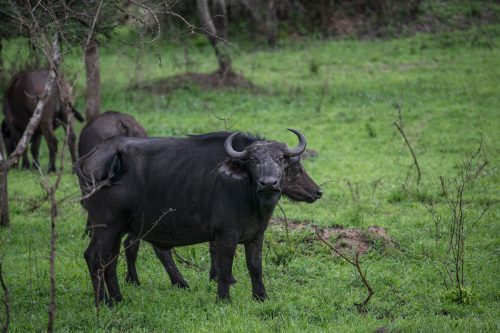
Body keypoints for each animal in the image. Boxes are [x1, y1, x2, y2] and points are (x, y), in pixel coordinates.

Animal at [75, 129, 308, 304]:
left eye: (281, 159)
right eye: (252, 160)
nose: (269, 183)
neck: (248, 194)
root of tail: (93, 157)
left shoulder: (255, 235)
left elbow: (255, 268)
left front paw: (261, 297)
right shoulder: (225, 235)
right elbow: (224, 268)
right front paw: (223, 299)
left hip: (117, 230)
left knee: (110, 261)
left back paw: (118, 298)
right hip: (106, 227)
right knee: (95, 258)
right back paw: (103, 302)